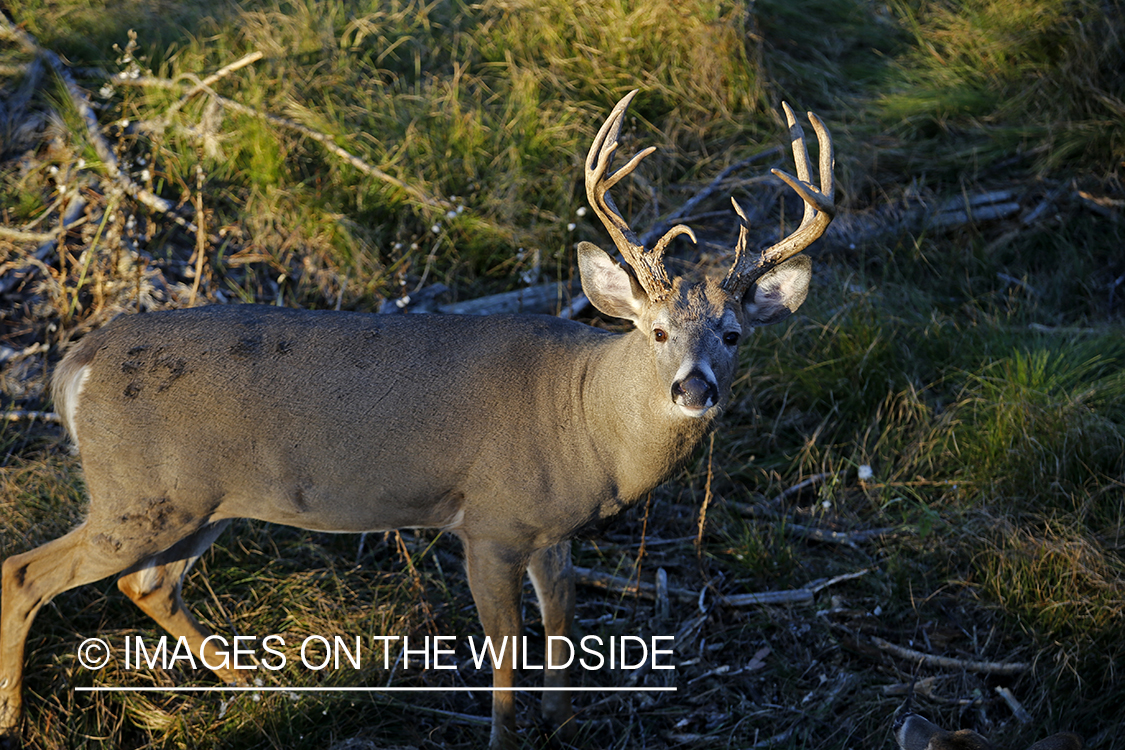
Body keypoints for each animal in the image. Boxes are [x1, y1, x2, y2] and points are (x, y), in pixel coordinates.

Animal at [2, 91, 837, 746]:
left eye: (733, 334)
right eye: (656, 331)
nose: (694, 391)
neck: (583, 416)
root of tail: (72, 367)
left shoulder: (551, 531)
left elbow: (562, 629)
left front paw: (564, 725)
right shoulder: (488, 522)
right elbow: (507, 648)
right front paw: (504, 736)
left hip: (194, 502)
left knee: (149, 585)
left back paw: (262, 687)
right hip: (138, 494)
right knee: (26, 572)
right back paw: (14, 717)